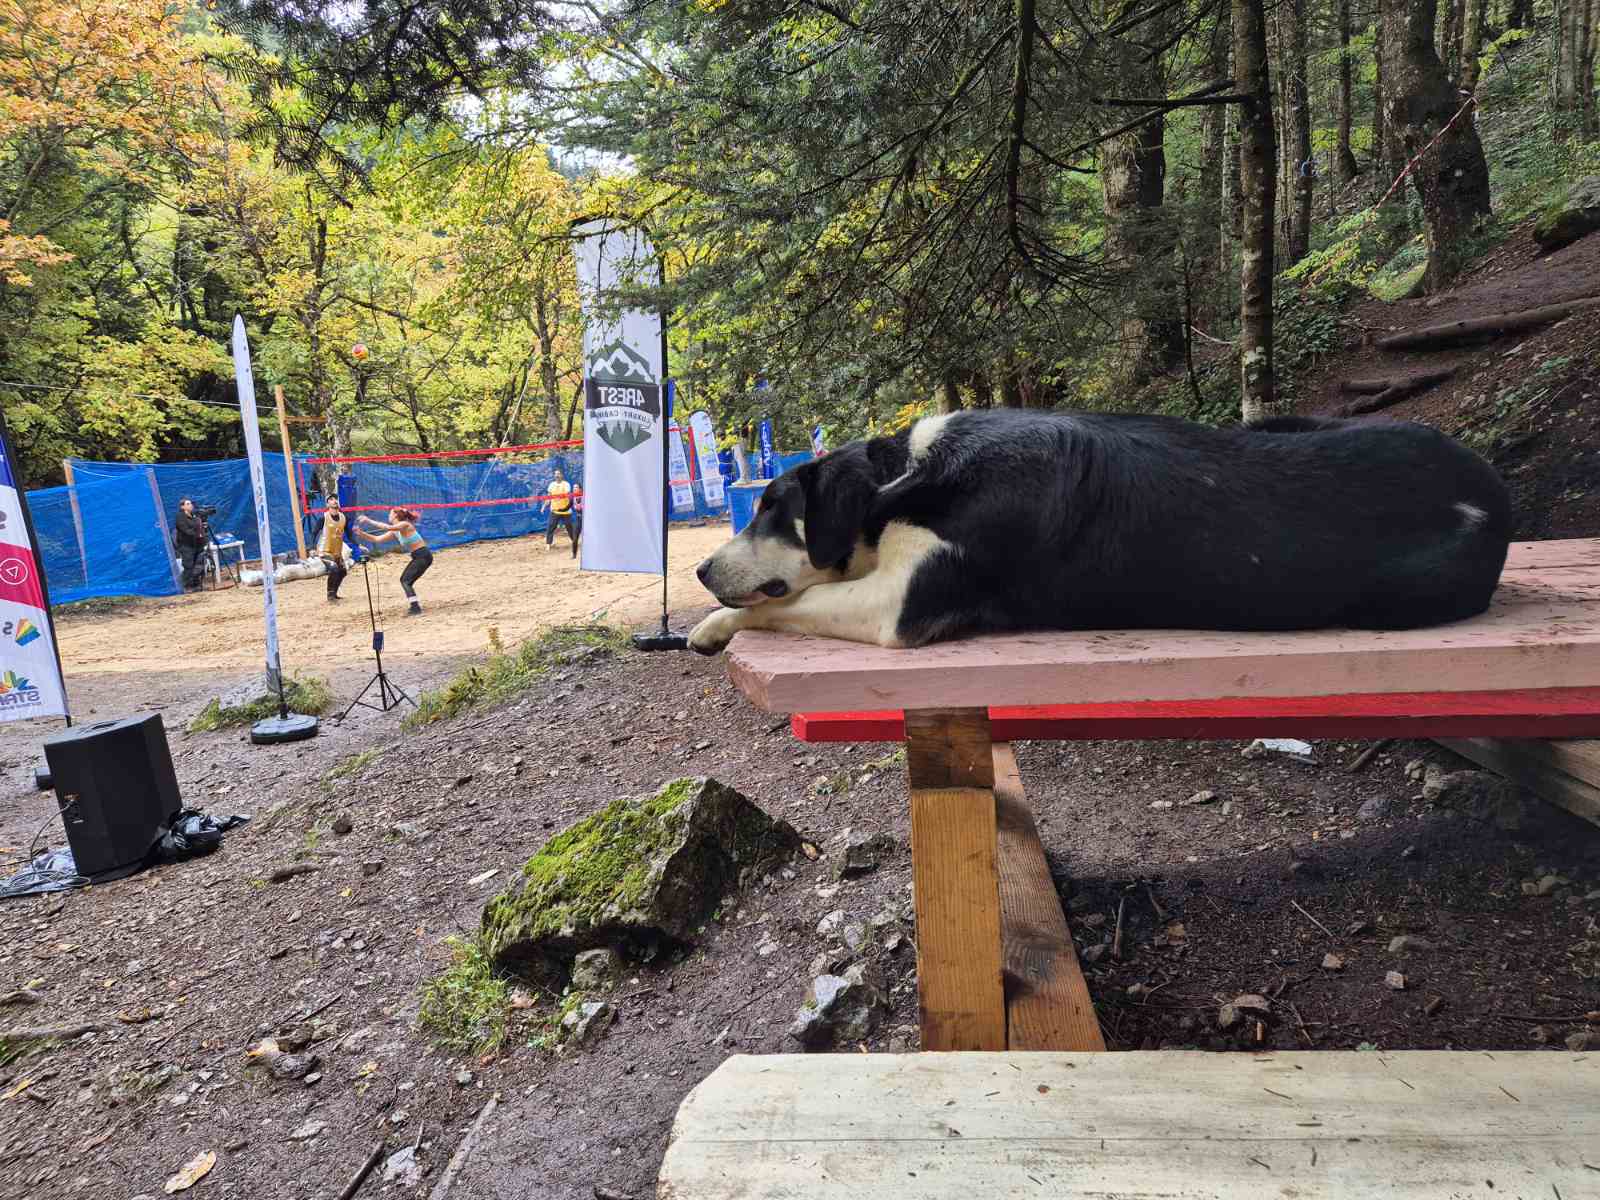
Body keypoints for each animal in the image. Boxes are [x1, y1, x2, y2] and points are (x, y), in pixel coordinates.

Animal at [688, 410, 1512, 653]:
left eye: (771, 508)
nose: (697, 571)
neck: (910, 475)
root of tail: (1490, 490)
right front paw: (710, 618)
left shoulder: (899, 602)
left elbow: (790, 603)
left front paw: (714, 623)